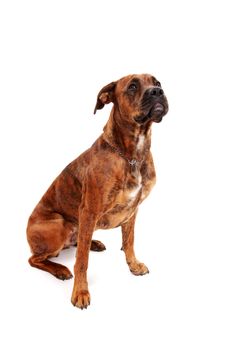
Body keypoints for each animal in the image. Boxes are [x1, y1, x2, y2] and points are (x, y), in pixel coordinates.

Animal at [26, 72, 169, 308]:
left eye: (157, 83)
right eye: (132, 86)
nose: (157, 91)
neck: (131, 155)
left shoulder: (132, 211)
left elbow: (129, 242)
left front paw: (133, 265)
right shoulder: (89, 210)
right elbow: (82, 261)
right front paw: (81, 292)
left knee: (78, 243)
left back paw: (94, 243)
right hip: (59, 225)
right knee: (36, 258)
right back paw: (60, 269)